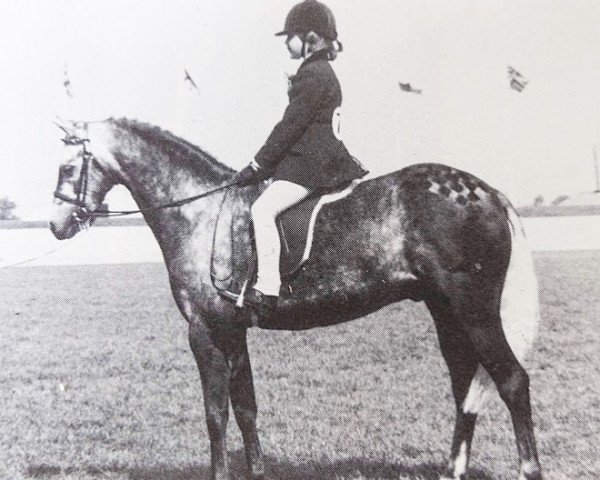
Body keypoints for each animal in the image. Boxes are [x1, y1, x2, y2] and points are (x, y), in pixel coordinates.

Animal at [49, 117, 540, 480]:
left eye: (69, 167)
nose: (57, 225)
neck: (199, 213)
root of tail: (490, 193)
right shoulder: (233, 330)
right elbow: (245, 408)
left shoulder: (206, 330)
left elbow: (215, 413)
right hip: (447, 313)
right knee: (464, 386)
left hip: (475, 313)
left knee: (512, 381)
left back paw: (528, 469)